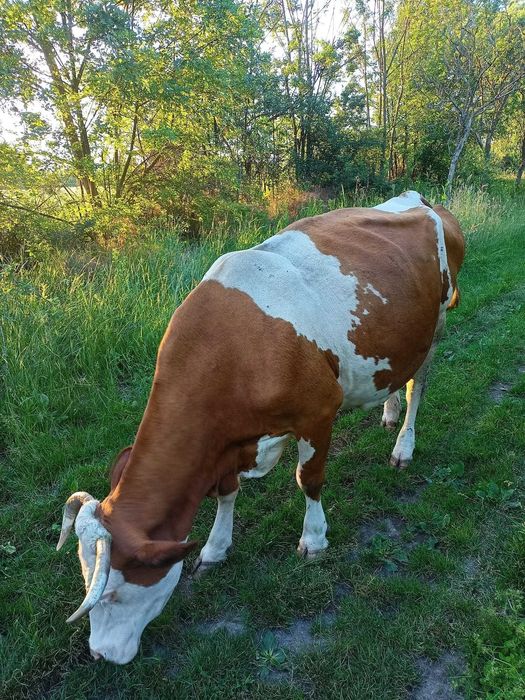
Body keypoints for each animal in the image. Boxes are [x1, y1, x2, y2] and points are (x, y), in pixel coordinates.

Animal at [56, 191, 464, 664]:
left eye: (115, 595)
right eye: (85, 579)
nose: (99, 654)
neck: (231, 349)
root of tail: (417, 198)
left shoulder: (318, 412)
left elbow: (308, 479)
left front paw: (314, 540)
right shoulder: (227, 442)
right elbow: (227, 492)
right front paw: (215, 548)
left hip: (436, 325)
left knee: (419, 386)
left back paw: (403, 445)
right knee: (398, 379)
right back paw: (389, 411)